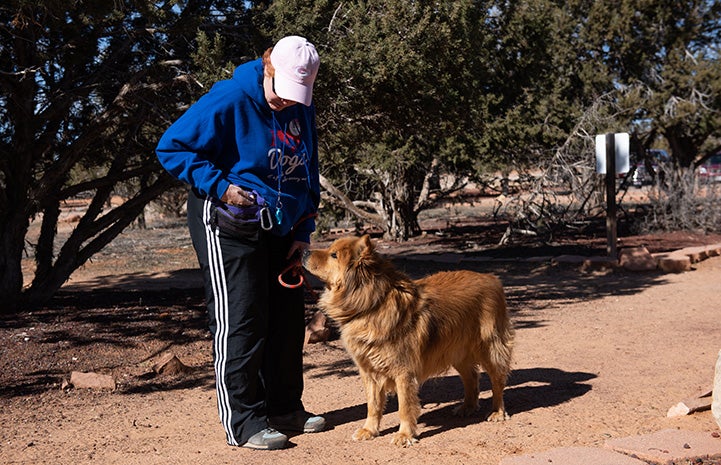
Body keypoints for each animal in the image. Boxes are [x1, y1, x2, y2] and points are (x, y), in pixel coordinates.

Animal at [300, 236, 516, 446]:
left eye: (333, 255)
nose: (303, 251)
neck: (372, 305)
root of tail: (491, 278)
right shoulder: (369, 371)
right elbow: (373, 405)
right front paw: (369, 430)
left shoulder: (403, 371)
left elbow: (404, 407)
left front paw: (405, 435)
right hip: (456, 351)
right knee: (471, 377)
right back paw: (467, 407)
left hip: (491, 349)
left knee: (497, 382)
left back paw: (497, 411)